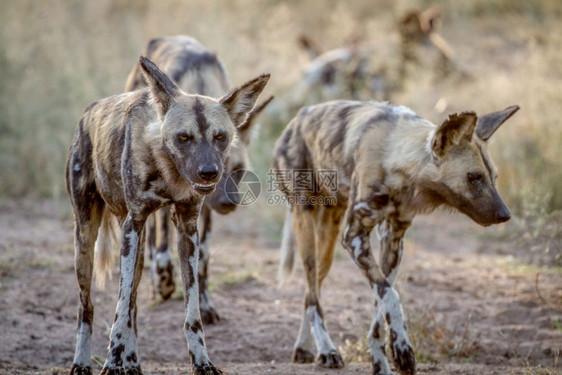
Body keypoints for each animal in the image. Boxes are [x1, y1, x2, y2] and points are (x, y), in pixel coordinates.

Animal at [65, 56, 266, 375]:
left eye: (220, 137)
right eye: (183, 137)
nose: (209, 172)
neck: (170, 171)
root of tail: (88, 113)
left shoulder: (188, 230)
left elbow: (191, 309)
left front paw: (202, 361)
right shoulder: (134, 224)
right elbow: (119, 309)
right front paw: (112, 362)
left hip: (134, 248)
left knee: (133, 301)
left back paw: (132, 362)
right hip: (86, 241)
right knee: (88, 306)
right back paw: (84, 363)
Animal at [123, 36, 272, 324]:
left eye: (237, 170)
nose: (228, 203)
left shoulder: (202, 206)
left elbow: (200, 259)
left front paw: (204, 303)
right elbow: (162, 247)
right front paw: (164, 281)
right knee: (154, 237)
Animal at [272, 101, 516, 374]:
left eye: (494, 178)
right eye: (474, 178)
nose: (505, 215)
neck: (398, 162)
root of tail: (297, 118)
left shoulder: (393, 241)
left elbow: (381, 308)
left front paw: (385, 360)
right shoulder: (354, 237)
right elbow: (391, 295)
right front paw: (401, 350)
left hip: (327, 244)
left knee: (310, 291)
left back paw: (305, 347)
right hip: (309, 231)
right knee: (313, 294)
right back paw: (326, 349)